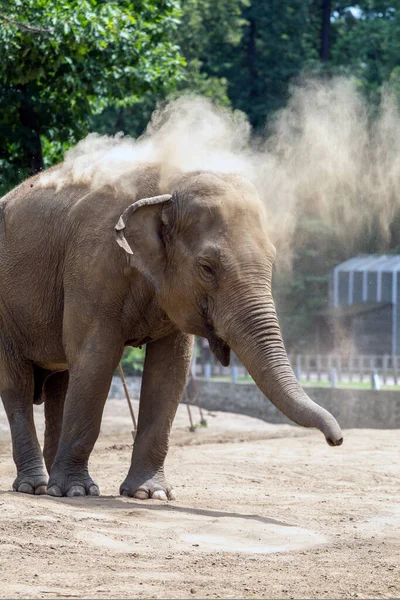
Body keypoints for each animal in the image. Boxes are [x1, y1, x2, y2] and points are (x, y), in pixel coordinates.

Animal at [0, 162, 342, 500]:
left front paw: (149, 494)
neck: (169, 184)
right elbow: (95, 358)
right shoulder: (91, 267)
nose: (336, 440)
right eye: (207, 268)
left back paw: (49, 486)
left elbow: (171, 368)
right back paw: (37, 486)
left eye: (272, 261)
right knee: (18, 385)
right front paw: (78, 491)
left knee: (60, 384)